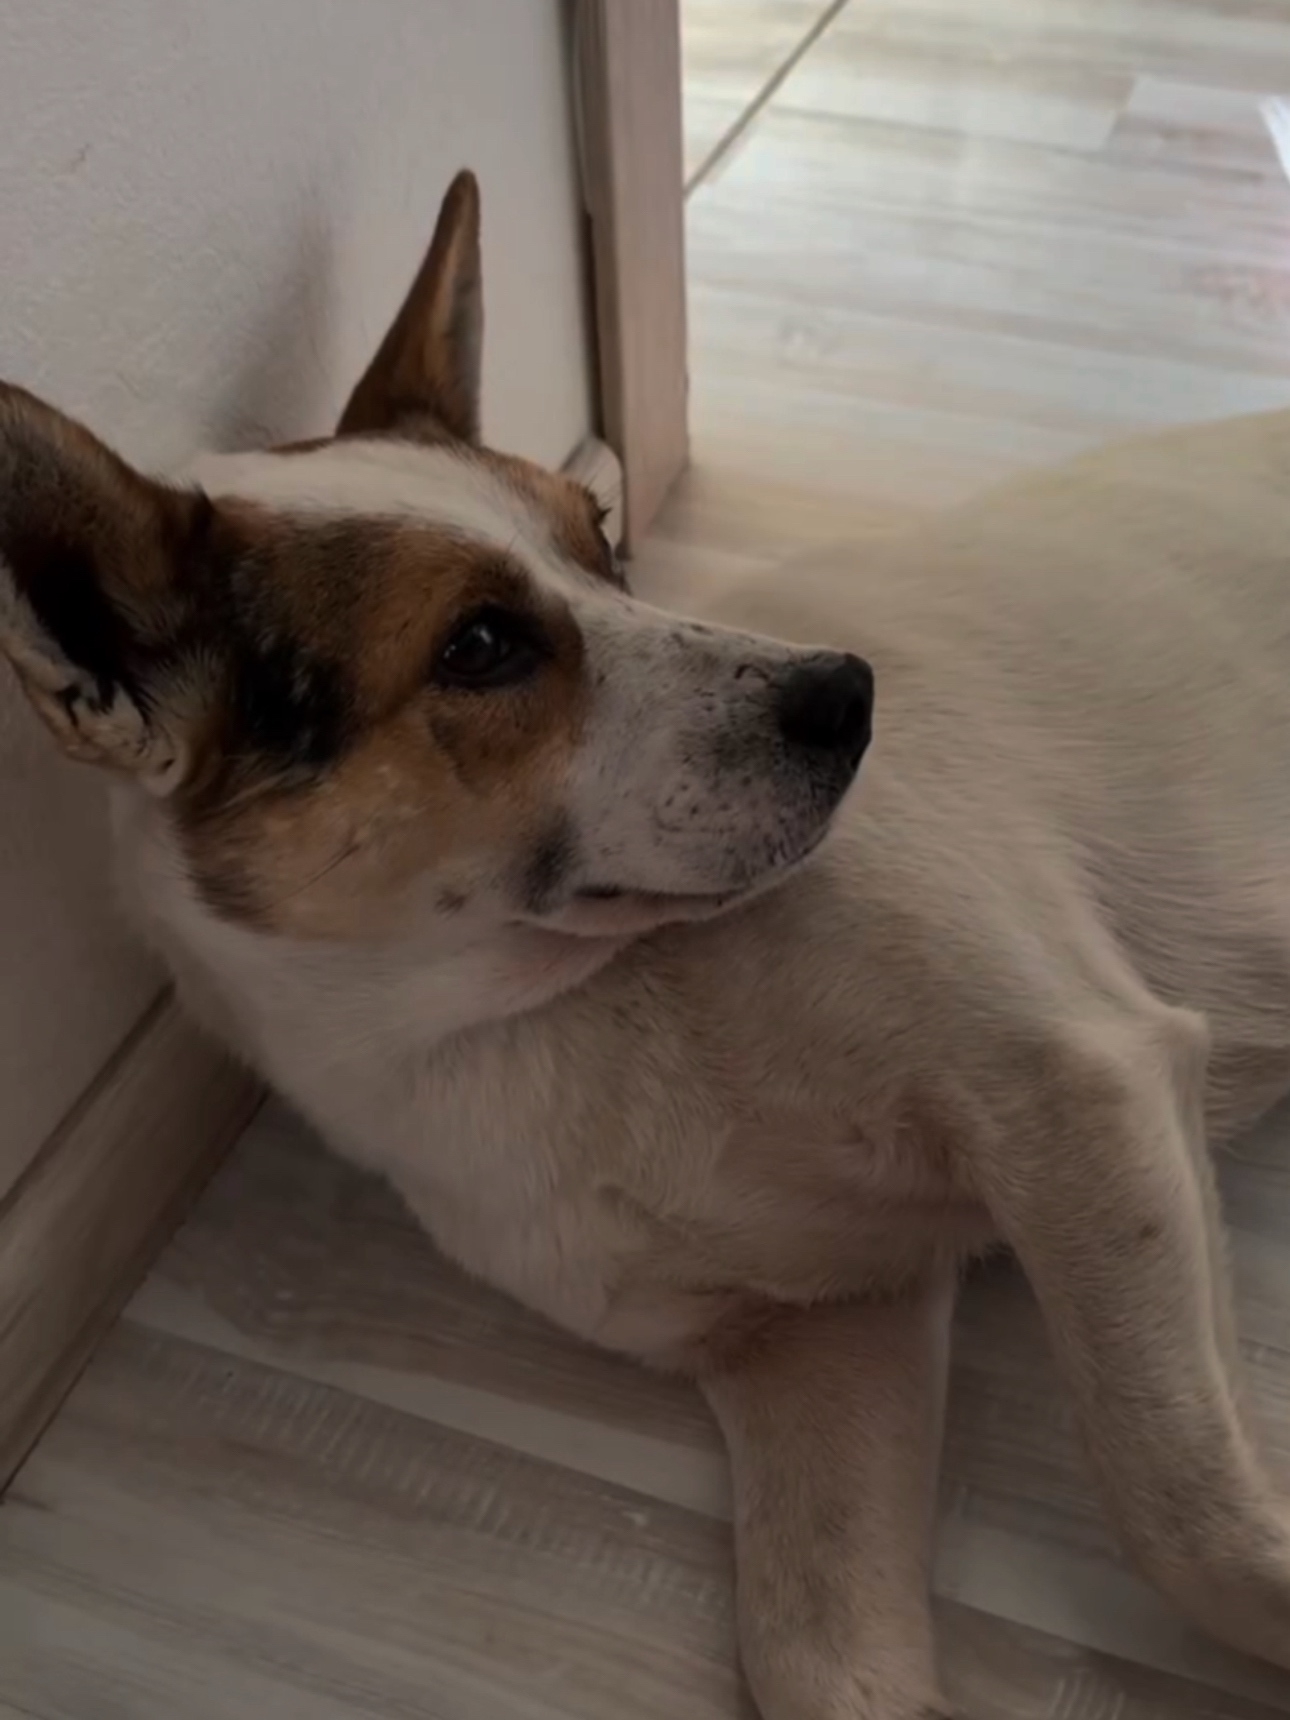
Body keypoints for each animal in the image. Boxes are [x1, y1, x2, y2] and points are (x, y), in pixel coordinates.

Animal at [3, 170, 1290, 1717]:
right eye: (480, 647)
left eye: (602, 538)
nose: (849, 696)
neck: (524, 1024)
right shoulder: (827, 1326)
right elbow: (812, 1657)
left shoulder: (1081, 1090)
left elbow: (1191, 1520)